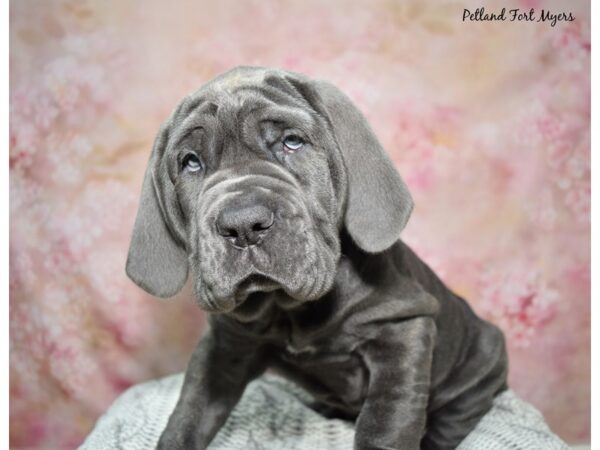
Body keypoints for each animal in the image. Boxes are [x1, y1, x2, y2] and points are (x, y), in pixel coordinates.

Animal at [125, 67, 506, 450]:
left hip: (478, 369)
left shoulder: (403, 329)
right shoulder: (225, 346)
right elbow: (190, 412)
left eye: (292, 142)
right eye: (191, 162)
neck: (288, 308)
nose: (243, 224)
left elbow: (386, 421)